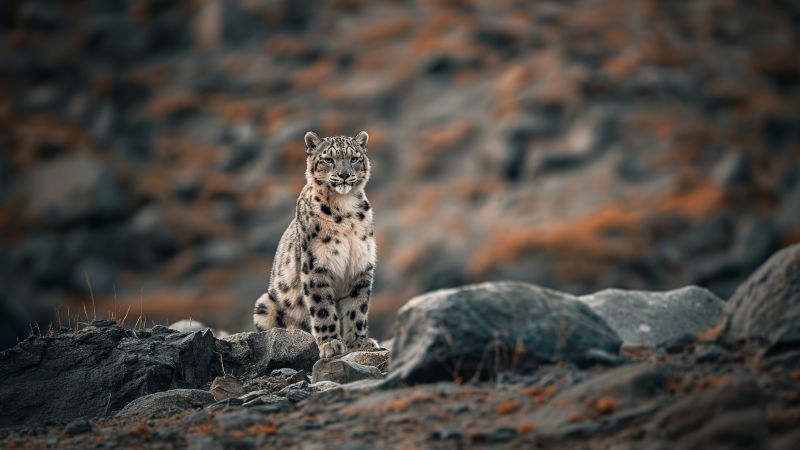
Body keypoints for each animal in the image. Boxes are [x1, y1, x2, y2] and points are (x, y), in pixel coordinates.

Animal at [253, 130, 379, 358]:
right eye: (328, 159)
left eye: (354, 158)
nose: (344, 174)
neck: (345, 208)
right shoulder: (316, 265)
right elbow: (322, 308)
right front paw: (331, 344)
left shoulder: (360, 265)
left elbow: (357, 308)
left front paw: (359, 343)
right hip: (264, 304)